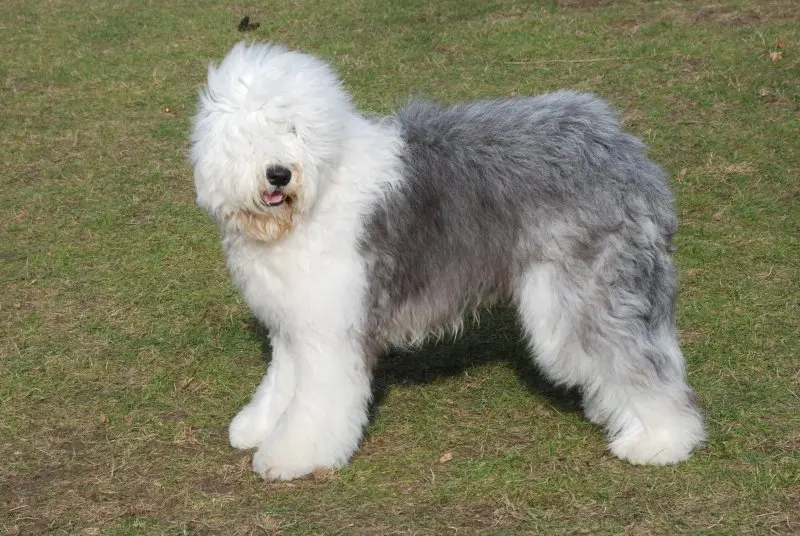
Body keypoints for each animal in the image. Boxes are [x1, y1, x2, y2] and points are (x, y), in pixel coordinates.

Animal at [191, 40, 704, 478]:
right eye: (249, 133)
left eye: (294, 129)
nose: (278, 174)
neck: (319, 191)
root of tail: (623, 149)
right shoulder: (296, 320)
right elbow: (283, 381)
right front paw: (258, 427)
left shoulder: (333, 327)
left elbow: (316, 401)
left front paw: (291, 455)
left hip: (580, 294)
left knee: (637, 361)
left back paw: (661, 440)